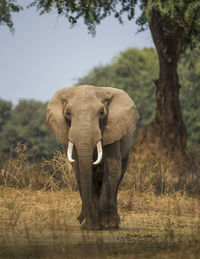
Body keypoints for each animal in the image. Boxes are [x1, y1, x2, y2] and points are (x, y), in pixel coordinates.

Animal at [46, 85, 138, 232]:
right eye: (68, 113)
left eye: (101, 113)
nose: (78, 218)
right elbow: (80, 172)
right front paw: (91, 227)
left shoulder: (112, 132)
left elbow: (112, 169)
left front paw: (108, 225)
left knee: (117, 179)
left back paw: (113, 224)